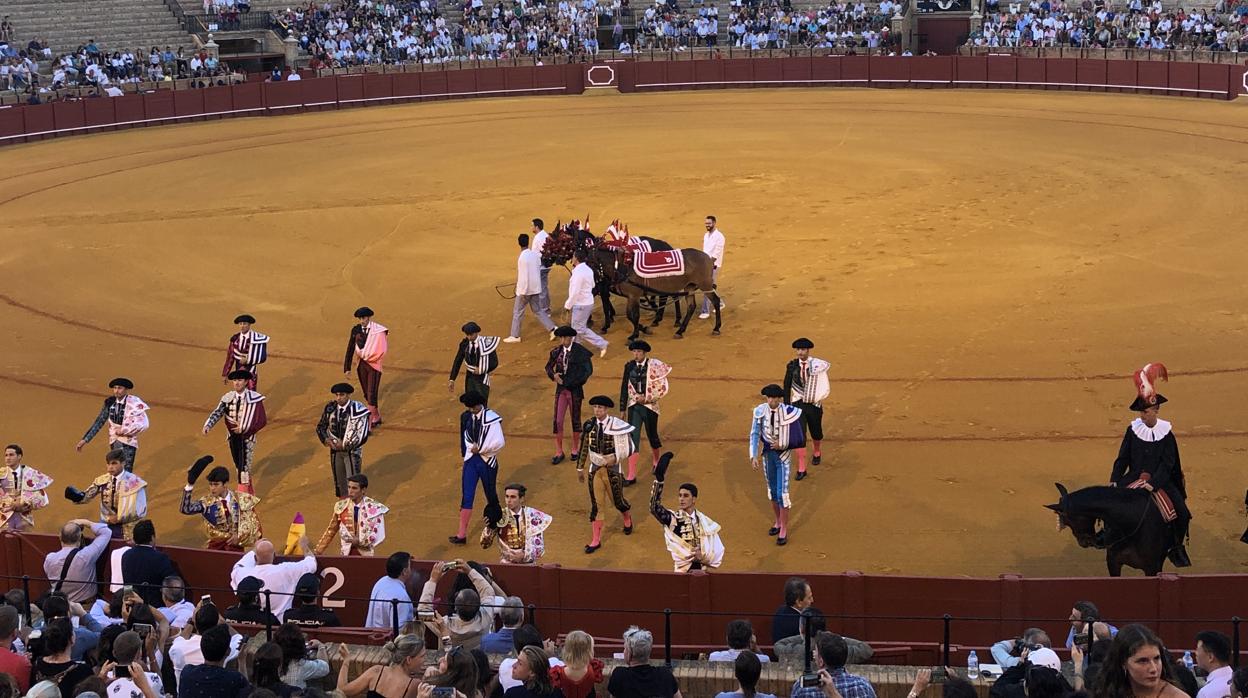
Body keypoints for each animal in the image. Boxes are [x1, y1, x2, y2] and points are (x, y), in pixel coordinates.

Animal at [591, 245, 723, 342]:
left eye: (589, 263)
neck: (621, 267)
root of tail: (709, 258)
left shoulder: (633, 296)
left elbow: (634, 315)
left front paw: (635, 335)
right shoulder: (630, 296)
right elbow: (629, 315)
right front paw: (643, 330)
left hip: (705, 286)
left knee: (716, 301)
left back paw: (716, 328)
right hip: (689, 287)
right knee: (691, 306)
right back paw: (680, 331)